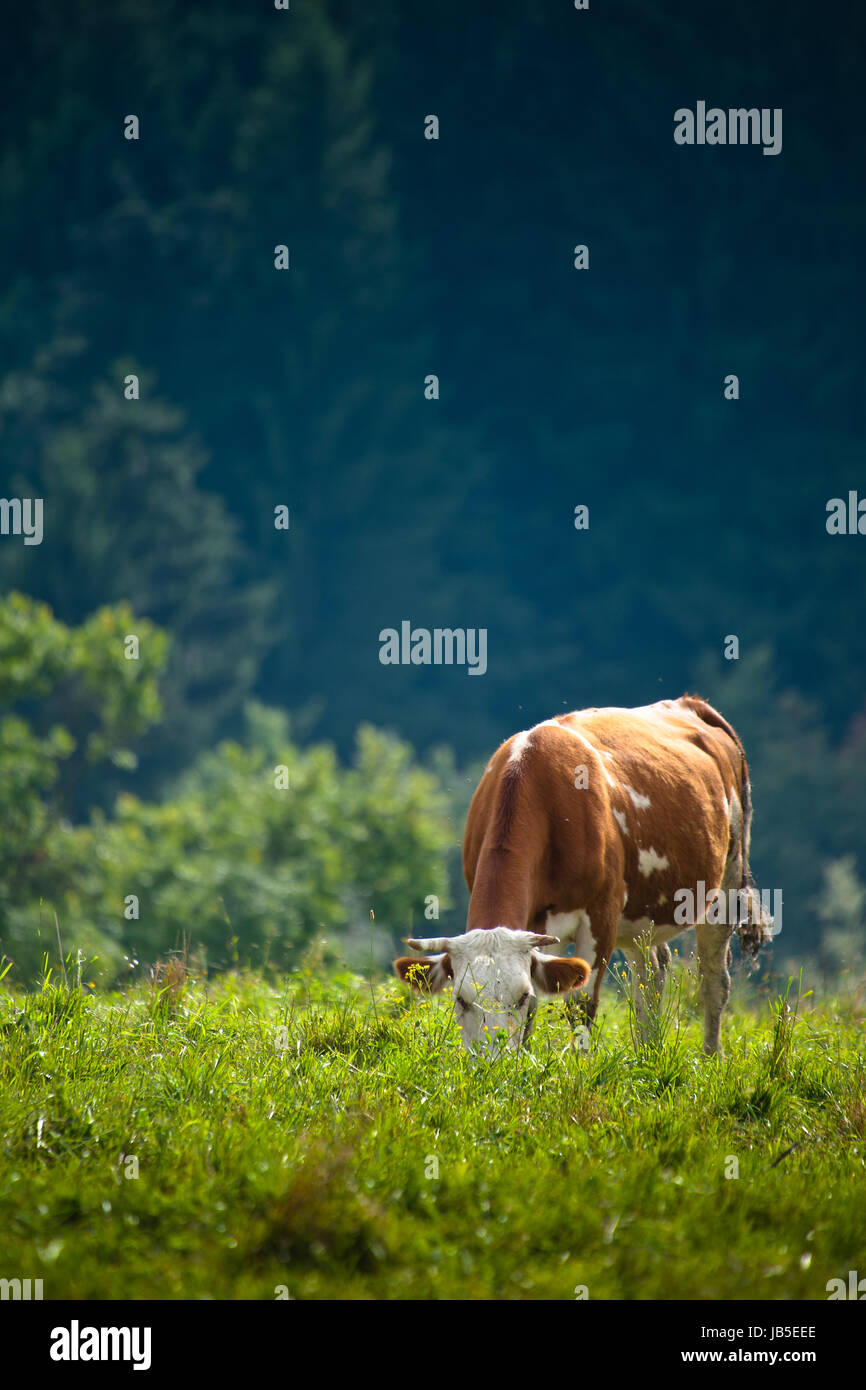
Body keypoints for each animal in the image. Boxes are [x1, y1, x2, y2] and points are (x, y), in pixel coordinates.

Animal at [394, 696, 773, 1055]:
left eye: (518, 996)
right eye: (461, 999)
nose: (490, 1061)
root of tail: (691, 703)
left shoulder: (600, 916)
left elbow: (579, 1006)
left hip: (727, 882)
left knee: (713, 981)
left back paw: (710, 1057)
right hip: (643, 912)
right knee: (651, 976)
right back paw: (647, 1056)